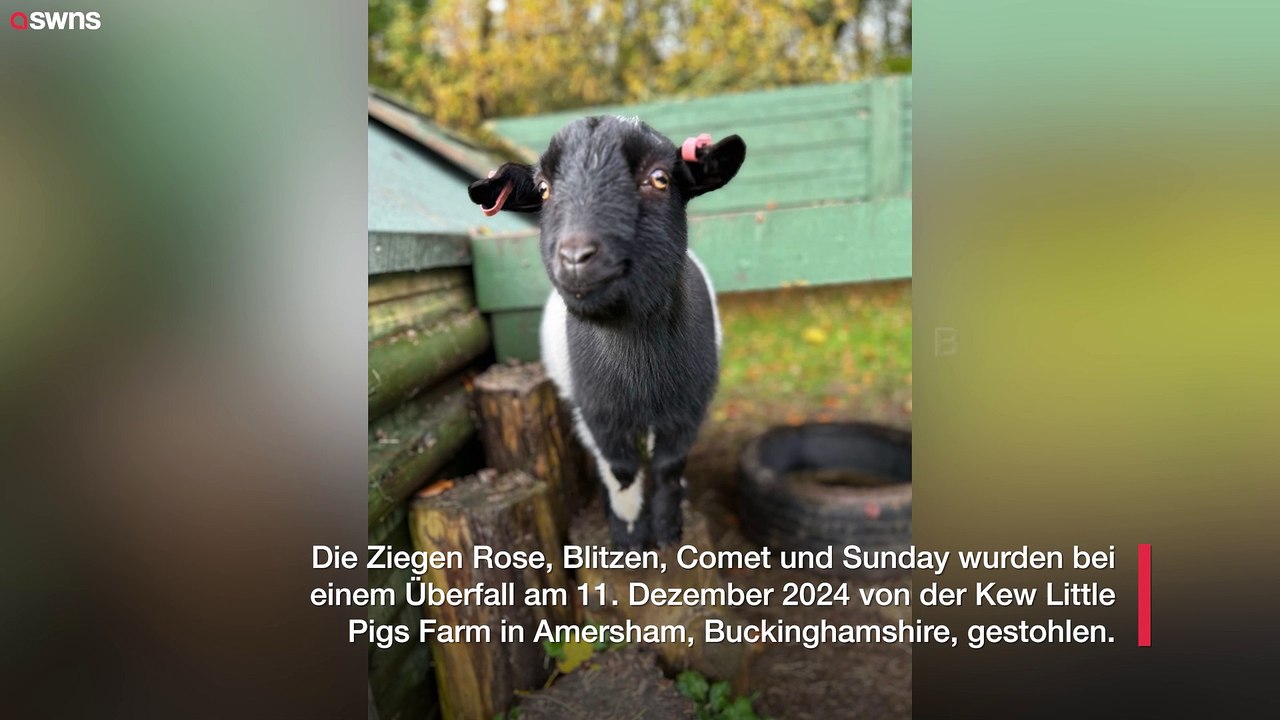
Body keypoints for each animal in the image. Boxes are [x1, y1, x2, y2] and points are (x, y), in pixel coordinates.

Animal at [469, 116, 746, 549]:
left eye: (660, 178)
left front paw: (667, 529)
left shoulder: (688, 406)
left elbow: (668, 466)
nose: (576, 257)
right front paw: (629, 536)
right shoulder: (598, 410)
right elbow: (622, 470)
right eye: (544, 190)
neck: (642, 371)